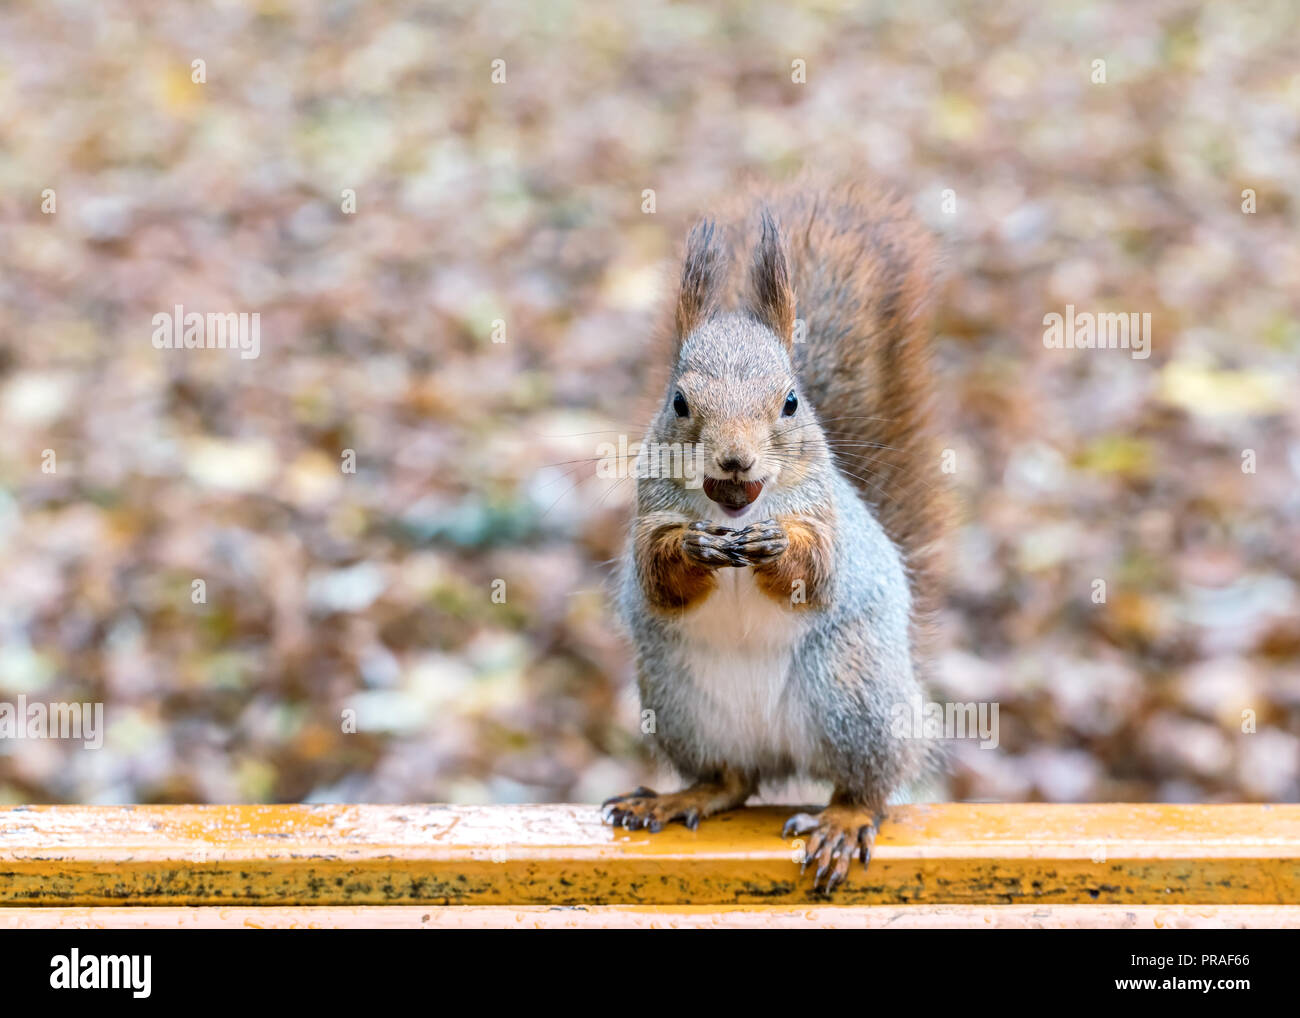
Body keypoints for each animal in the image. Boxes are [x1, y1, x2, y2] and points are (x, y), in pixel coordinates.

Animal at [603, 180, 951, 894]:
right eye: (678, 402)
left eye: (791, 401)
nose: (735, 460)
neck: (736, 514)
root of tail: (781, 750)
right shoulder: (648, 513)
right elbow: (656, 575)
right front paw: (693, 548)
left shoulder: (825, 520)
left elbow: (816, 573)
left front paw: (780, 548)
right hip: (681, 706)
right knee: (734, 780)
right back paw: (679, 798)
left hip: (854, 695)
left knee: (871, 783)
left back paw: (844, 821)